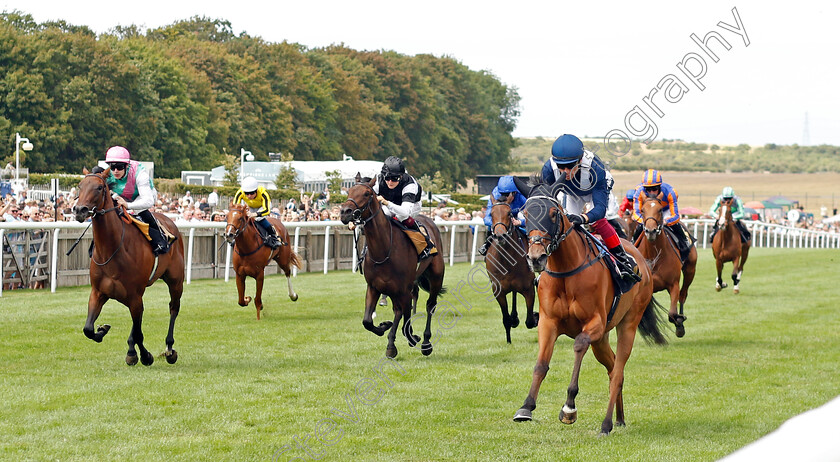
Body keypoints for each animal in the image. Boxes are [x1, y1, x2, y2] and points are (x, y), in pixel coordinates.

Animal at [72, 168, 185, 366]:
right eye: (80, 185)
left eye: (99, 187)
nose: (80, 210)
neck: (112, 250)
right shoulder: (98, 292)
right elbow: (88, 329)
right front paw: (102, 330)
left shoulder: (134, 296)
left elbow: (139, 333)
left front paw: (146, 356)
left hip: (175, 281)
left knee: (173, 308)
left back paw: (169, 349)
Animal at [340, 173, 446, 358]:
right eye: (349, 191)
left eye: (367, 193)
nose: (345, 212)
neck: (383, 250)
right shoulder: (374, 287)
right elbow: (367, 321)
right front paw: (385, 328)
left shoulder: (402, 288)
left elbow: (402, 315)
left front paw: (402, 340)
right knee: (404, 308)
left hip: (435, 277)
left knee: (429, 305)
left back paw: (425, 342)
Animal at [486, 200, 540, 344]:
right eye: (491, 214)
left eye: (509, 213)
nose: (500, 236)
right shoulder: (498, 291)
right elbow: (506, 319)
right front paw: (509, 341)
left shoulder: (528, 289)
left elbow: (529, 321)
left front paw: (535, 317)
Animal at [508, 181, 668, 436]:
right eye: (526, 214)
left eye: (553, 214)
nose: (536, 257)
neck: (566, 270)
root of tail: (643, 261)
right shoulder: (548, 322)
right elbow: (541, 364)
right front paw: (526, 407)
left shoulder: (595, 324)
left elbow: (579, 344)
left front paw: (569, 407)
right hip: (601, 341)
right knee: (613, 368)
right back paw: (619, 418)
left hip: (627, 325)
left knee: (618, 371)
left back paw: (606, 423)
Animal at [636, 197, 696, 338]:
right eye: (642, 210)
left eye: (659, 210)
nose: (650, 231)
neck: (654, 254)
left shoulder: (673, 284)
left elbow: (672, 314)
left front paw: (679, 324)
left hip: (690, 269)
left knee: (683, 294)